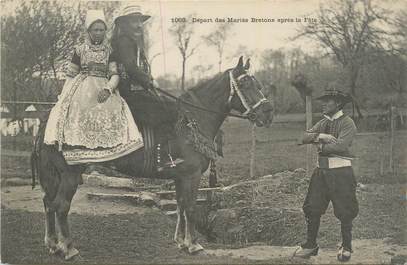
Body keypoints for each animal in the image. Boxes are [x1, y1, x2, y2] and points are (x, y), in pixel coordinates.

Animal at [31, 56, 274, 258]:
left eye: (258, 84)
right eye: (245, 84)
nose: (268, 113)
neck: (193, 119)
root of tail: (48, 121)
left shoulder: (180, 177)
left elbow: (181, 205)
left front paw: (181, 241)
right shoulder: (192, 175)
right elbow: (191, 206)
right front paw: (193, 244)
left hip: (55, 175)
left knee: (48, 203)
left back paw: (53, 244)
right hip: (69, 175)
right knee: (61, 206)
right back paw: (68, 248)